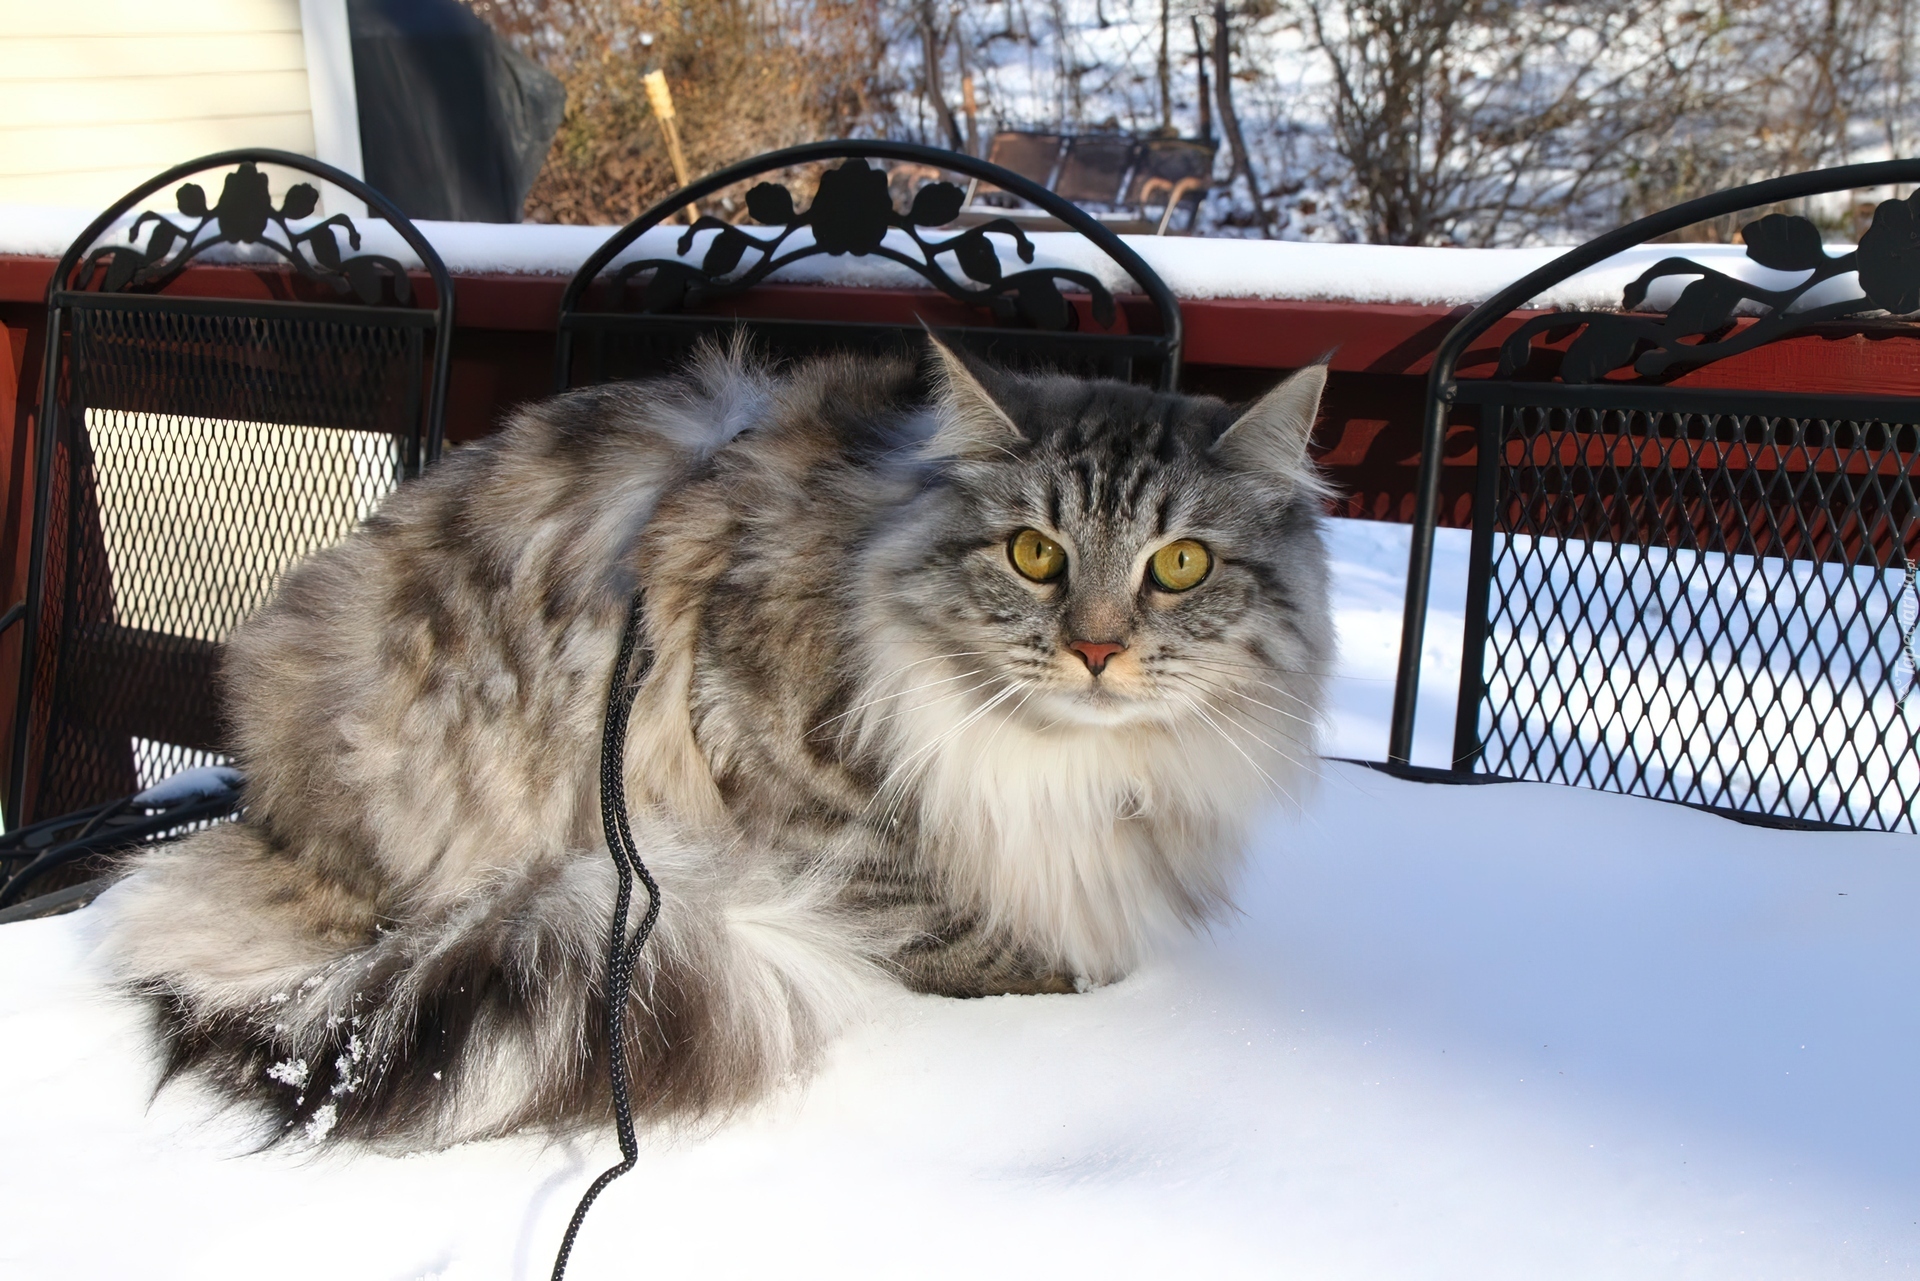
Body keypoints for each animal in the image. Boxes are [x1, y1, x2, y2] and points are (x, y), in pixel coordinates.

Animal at [108, 336, 1336, 1144]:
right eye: (1035, 554)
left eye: (1181, 565)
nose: (1095, 649)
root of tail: (272, 817)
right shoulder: (768, 749)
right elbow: (943, 920)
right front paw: (1061, 974)